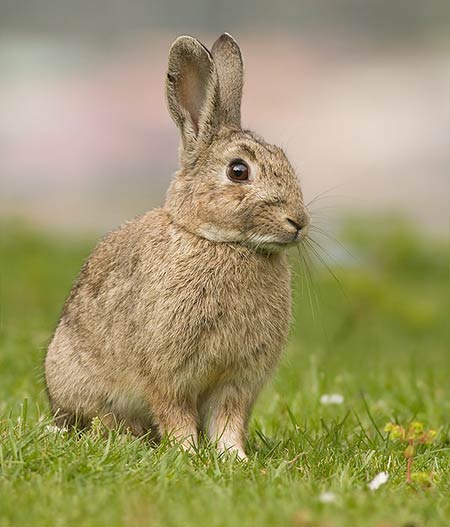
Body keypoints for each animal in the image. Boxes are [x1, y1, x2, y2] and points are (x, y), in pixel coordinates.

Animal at [45, 33, 312, 460]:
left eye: (284, 159)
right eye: (239, 171)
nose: (298, 222)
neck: (220, 242)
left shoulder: (237, 381)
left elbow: (229, 420)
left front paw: (233, 458)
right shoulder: (168, 373)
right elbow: (175, 414)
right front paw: (187, 452)